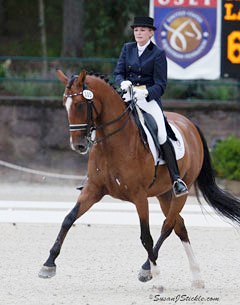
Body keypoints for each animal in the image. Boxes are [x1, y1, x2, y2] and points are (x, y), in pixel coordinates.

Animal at [38, 69, 240, 288]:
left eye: (80, 104)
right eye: (64, 104)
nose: (79, 145)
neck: (113, 143)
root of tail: (189, 124)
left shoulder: (139, 196)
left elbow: (146, 236)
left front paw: (157, 278)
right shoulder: (93, 189)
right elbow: (68, 219)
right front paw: (48, 264)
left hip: (181, 192)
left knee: (168, 226)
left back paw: (148, 269)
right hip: (164, 193)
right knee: (180, 226)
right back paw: (197, 276)